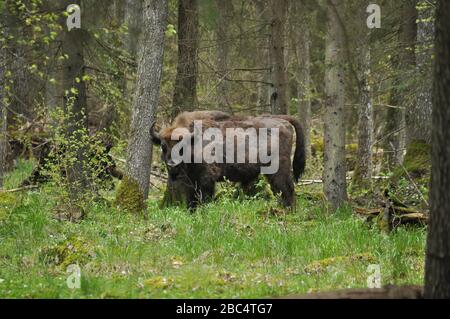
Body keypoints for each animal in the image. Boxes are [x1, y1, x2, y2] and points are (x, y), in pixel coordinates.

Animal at [151, 111, 306, 211]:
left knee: (287, 190)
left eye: (182, 147)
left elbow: (204, 197)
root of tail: (283, 121)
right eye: (163, 146)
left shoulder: (207, 178)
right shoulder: (192, 180)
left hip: (278, 169)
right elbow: (192, 199)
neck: (194, 141)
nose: (172, 165)